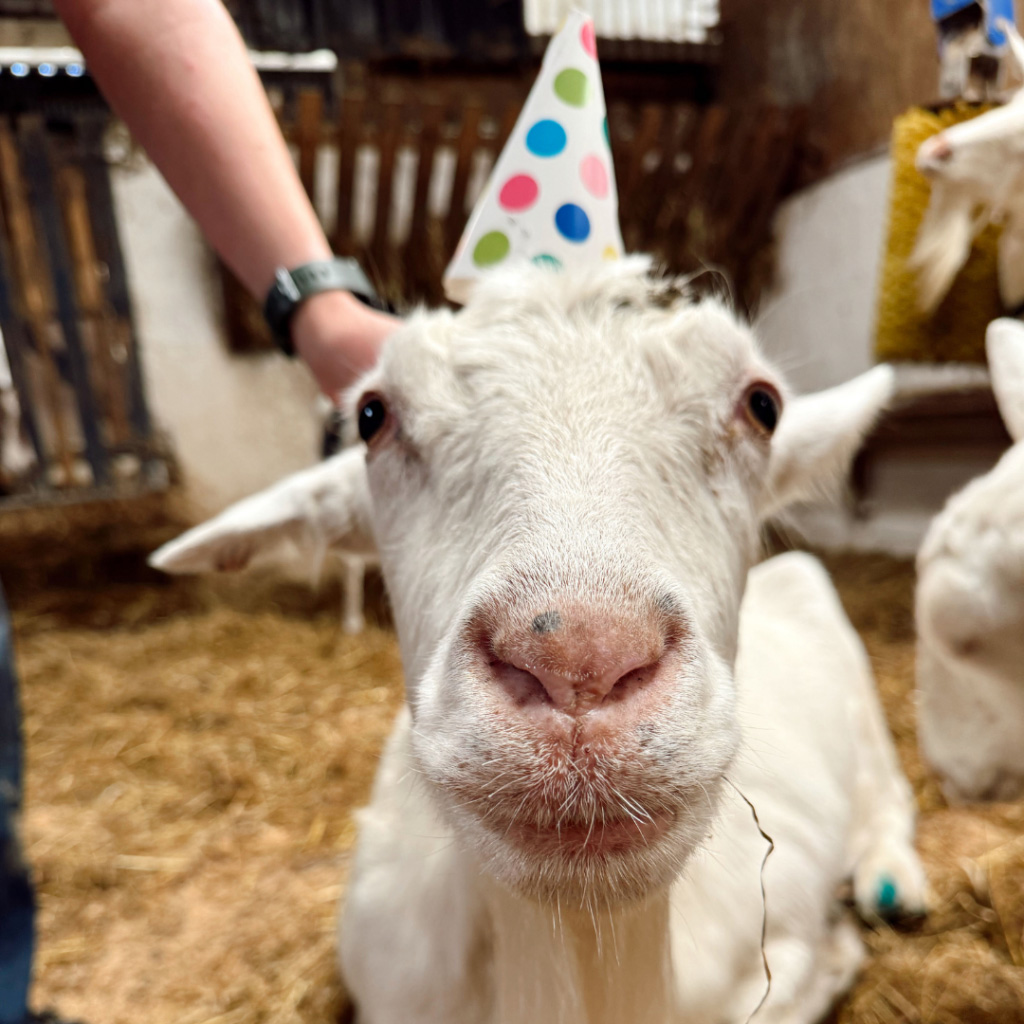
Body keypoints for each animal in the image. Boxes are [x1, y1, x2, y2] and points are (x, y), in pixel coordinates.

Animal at [151, 260, 926, 1024]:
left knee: (887, 788)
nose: (581, 661)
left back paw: (895, 883)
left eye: (762, 406)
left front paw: (843, 946)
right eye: (373, 417)